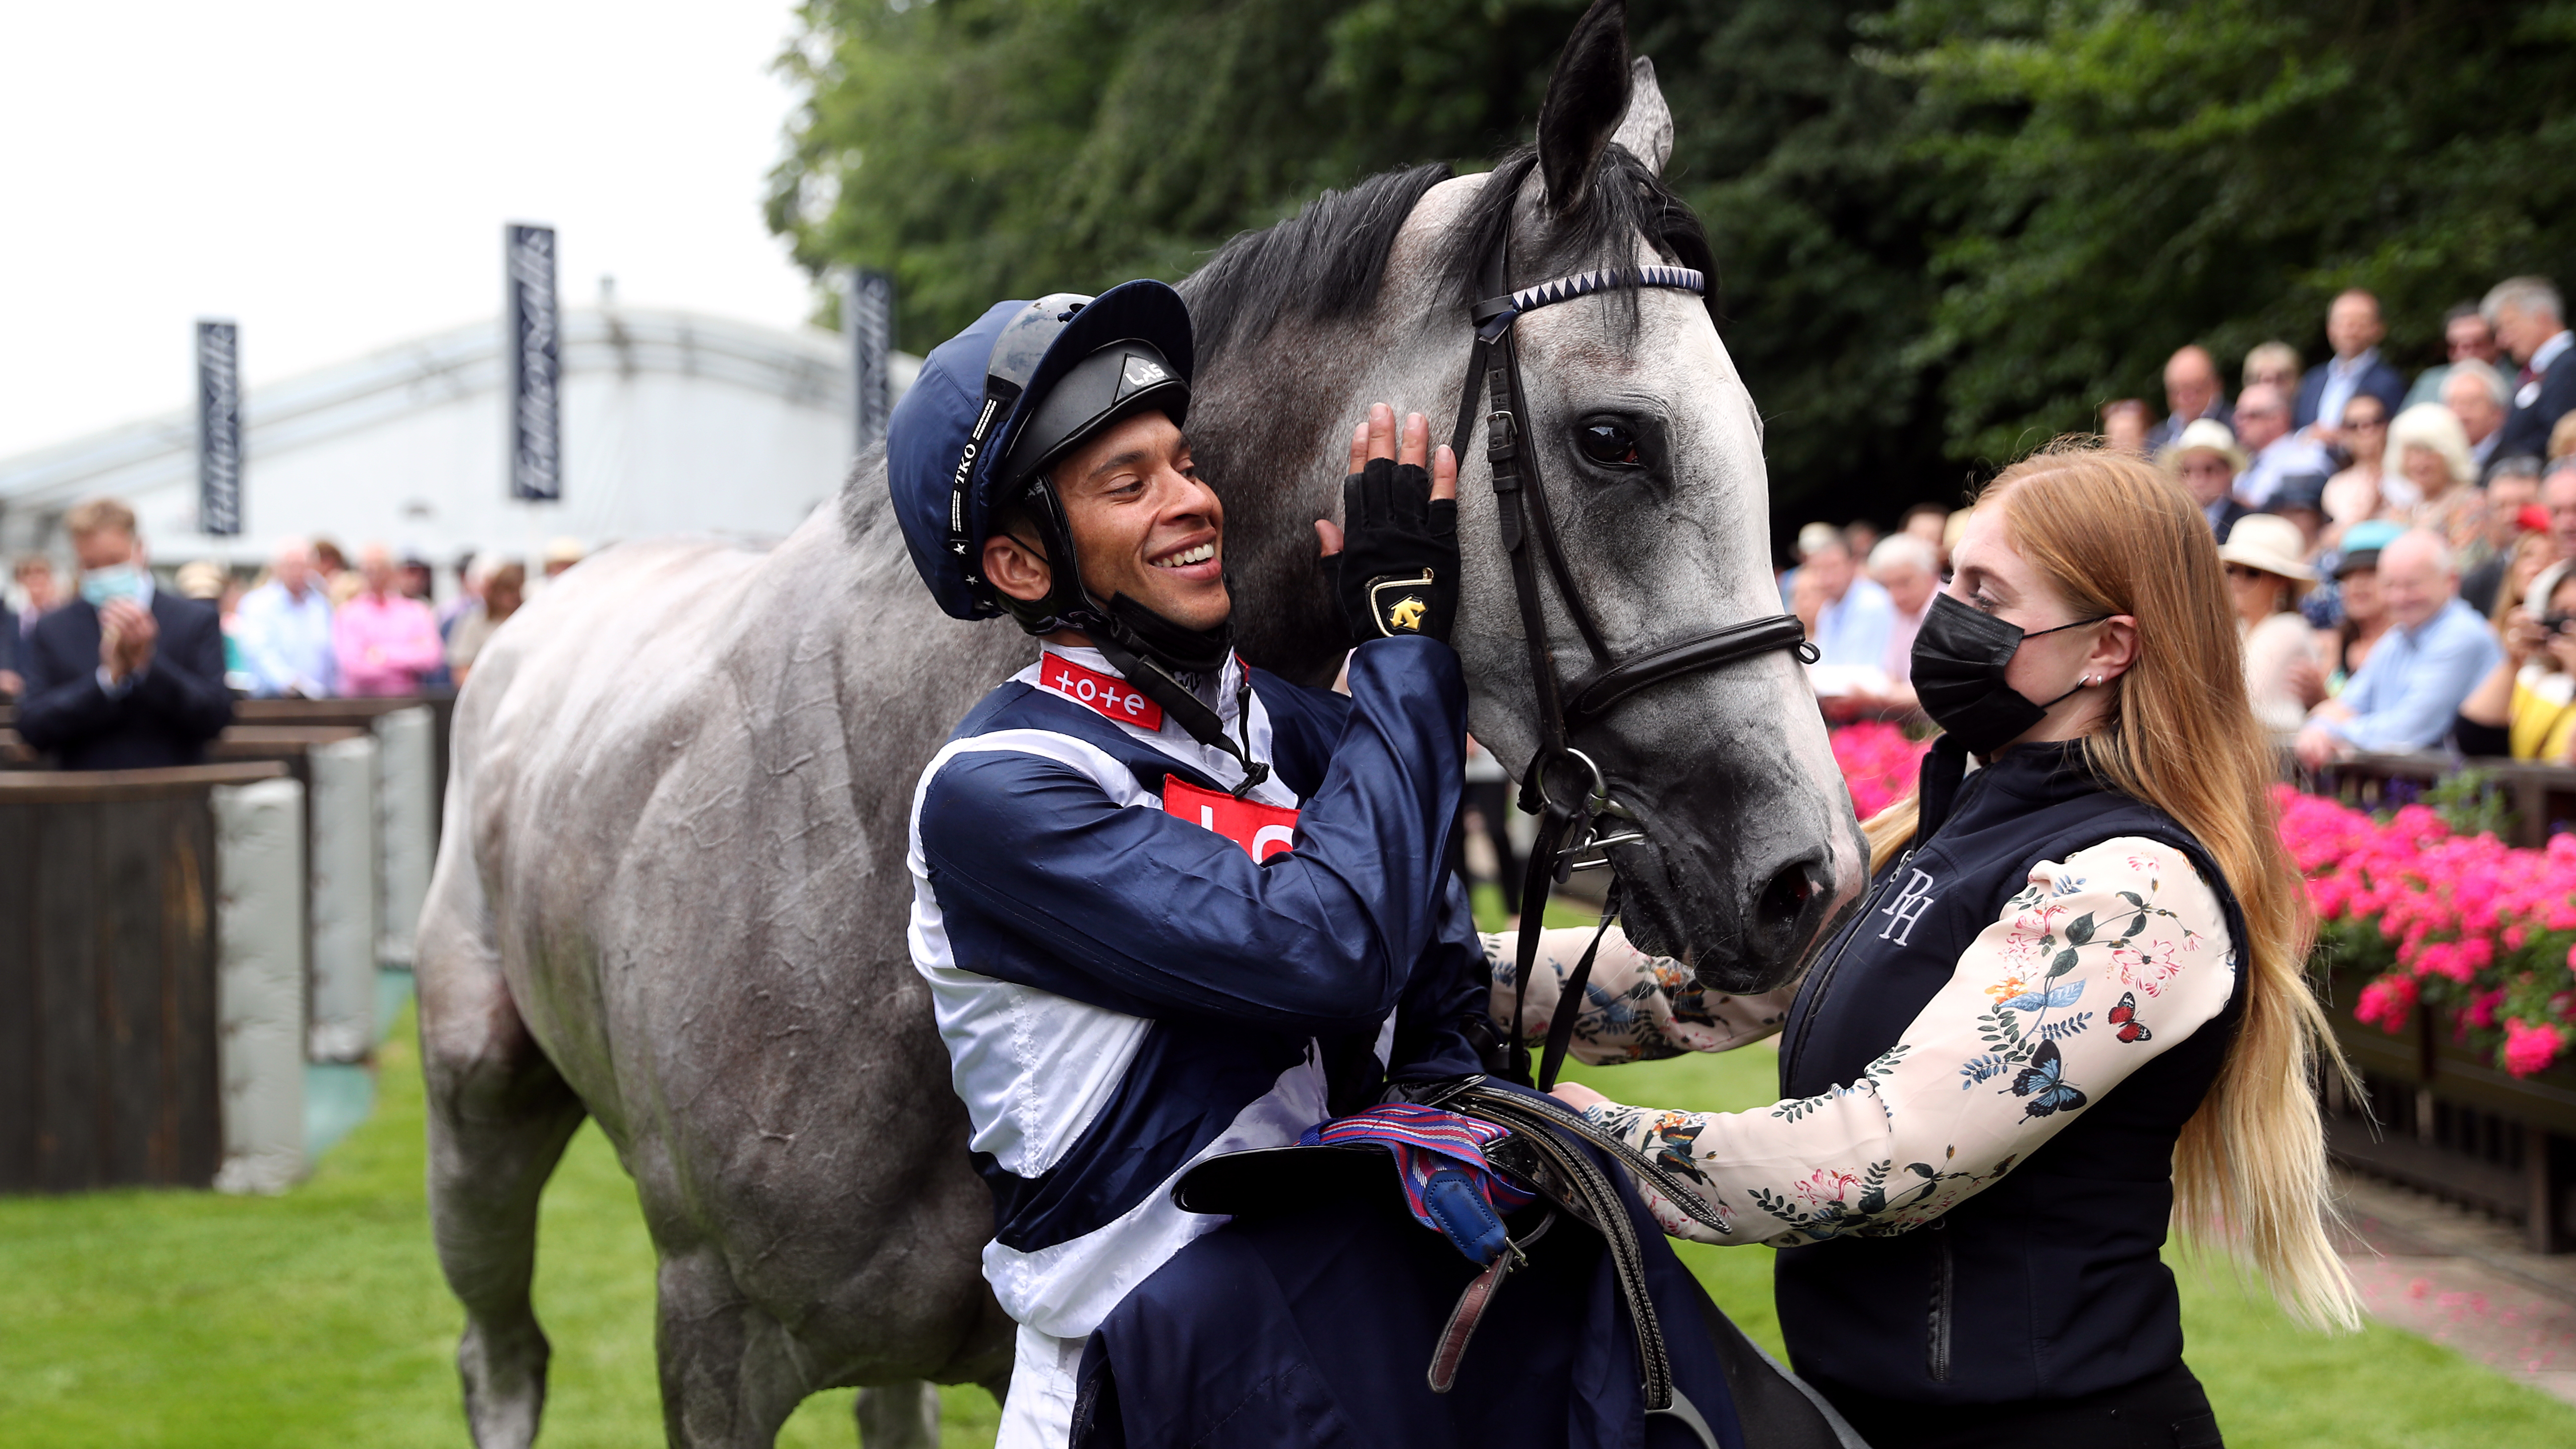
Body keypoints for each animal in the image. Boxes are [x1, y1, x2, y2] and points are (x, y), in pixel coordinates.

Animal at [417, 5, 1875, 1433]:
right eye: (1615, 438)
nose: (1811, 877)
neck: (868, 836)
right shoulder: (710, 1341)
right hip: (477, 1120)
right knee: (502, 1357)